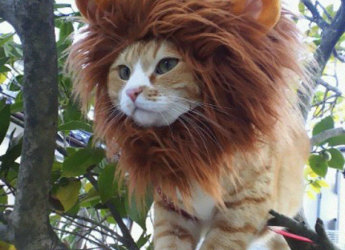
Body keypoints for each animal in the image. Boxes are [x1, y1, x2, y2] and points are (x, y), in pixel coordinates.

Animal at [68, 0, 310, 249]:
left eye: (166, 65)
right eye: (124, 72)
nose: (132, 92)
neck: (192, 147)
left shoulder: (243, 206)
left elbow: (218, 243)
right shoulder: (172, 212)